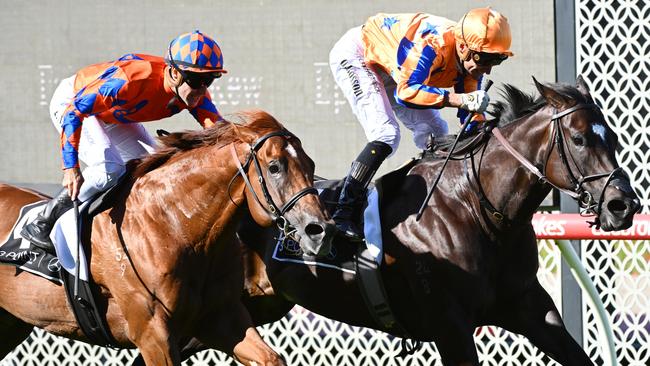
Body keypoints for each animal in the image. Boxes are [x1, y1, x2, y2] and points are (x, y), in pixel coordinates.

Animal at [0, 111, 334, 366]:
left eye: (311, 165)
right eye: (275, 167)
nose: (320, 230)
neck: (175, 227)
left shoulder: (223, 318)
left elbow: (270, 357)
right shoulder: (153, 335)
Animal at [210, 76, 636, 364]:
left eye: (614, 137)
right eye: (579, 139)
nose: (623, 205)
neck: (479, 210)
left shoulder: (530, 308)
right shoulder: (452, 328)